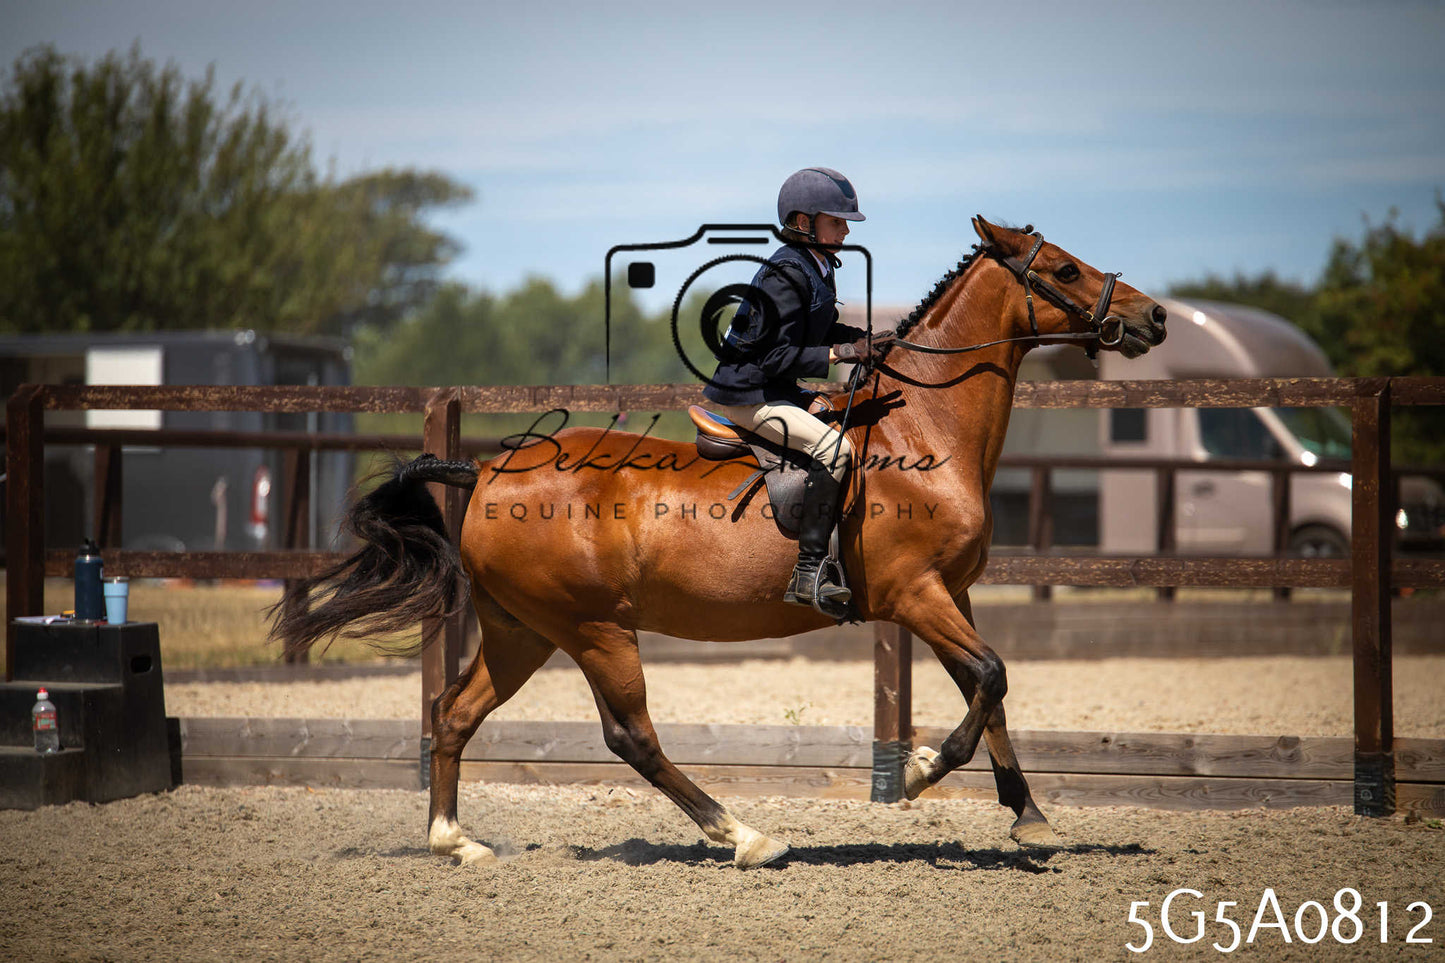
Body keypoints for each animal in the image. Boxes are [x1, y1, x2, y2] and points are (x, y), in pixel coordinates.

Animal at [270, 216, 1168, 869]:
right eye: (1063, 270)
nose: (1151, 315)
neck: (924, 428)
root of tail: (488, 469)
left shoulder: (953, 593)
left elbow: (991, 692)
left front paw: (1029, 815)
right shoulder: (916, 594)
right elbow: (989, 678)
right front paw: (915, 773)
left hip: (521, 629)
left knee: (454, 713)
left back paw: (455, 840)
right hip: (595, 627)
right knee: (629, 735)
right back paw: (743, 834)